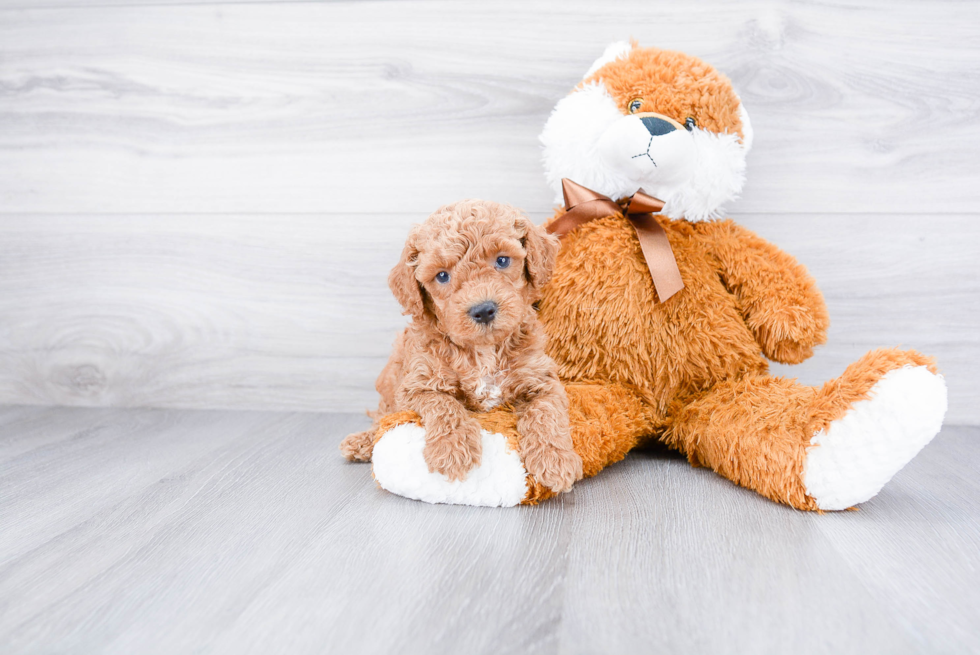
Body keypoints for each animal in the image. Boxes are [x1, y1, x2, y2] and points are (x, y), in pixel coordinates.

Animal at [340, 200, 580, 492]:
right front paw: (452, 449)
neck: (484, 351)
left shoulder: (541, 379)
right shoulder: (417, 385)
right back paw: (361, 442)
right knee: (382, 419)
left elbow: (546, 412)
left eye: (502, 260)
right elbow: (443, 404)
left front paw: (555, 459)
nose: (483, 310)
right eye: (442, 276)